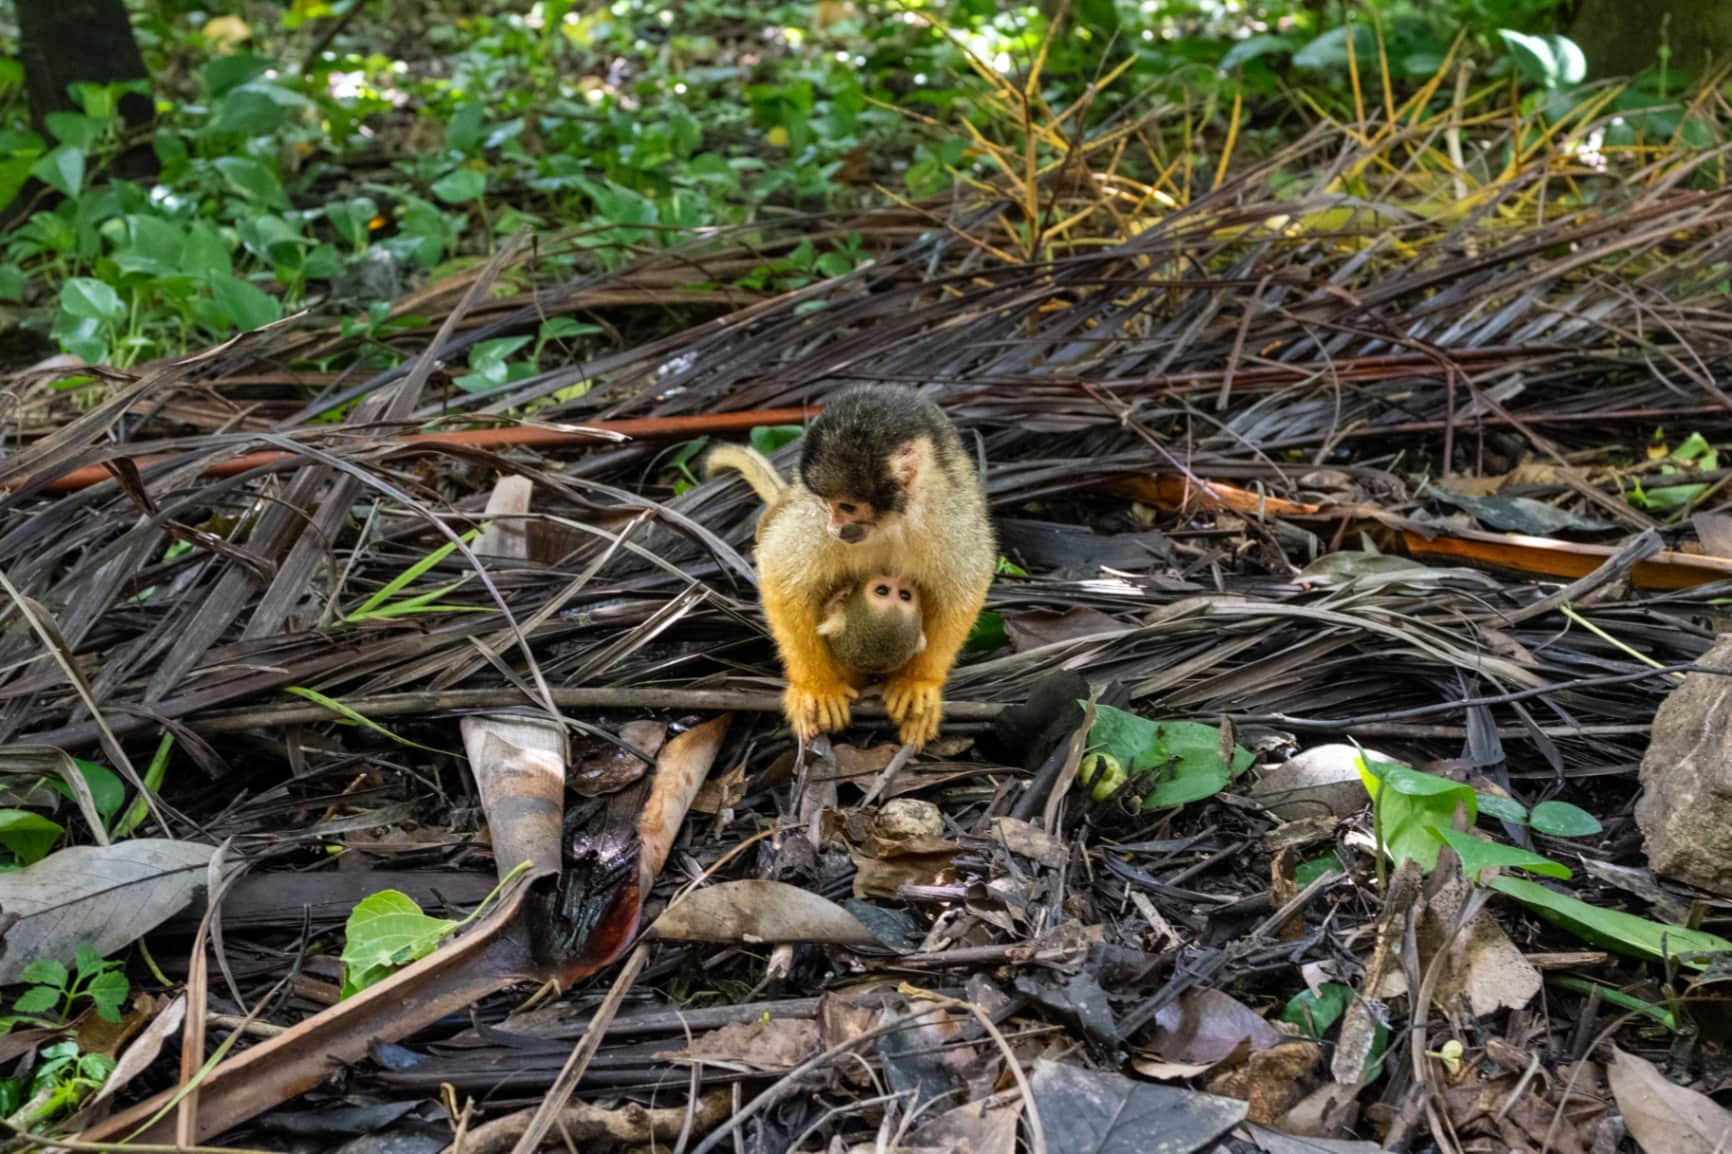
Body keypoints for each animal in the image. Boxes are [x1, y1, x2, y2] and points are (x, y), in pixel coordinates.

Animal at [705, 384, 995, 747]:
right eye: (825, 504)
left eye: (846, 506)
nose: (833, 528)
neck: (893, 523)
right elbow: (781, 576)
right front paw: (817, 687)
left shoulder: (950, 516)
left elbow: (964, 589)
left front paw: (919, 682)